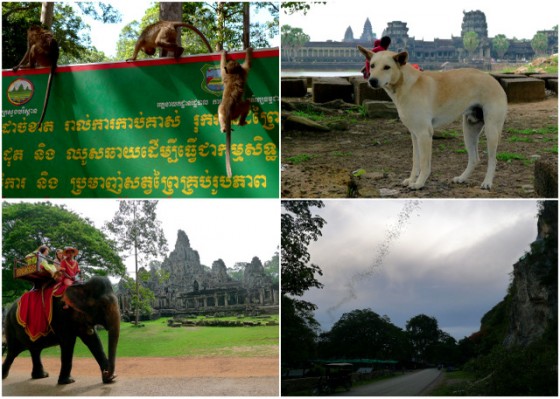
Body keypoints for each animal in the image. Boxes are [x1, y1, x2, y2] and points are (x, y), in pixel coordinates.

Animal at [219, 47, 254, 178]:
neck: (234, 73)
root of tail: (229, 109)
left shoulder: (226, 74)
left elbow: (222, 66)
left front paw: (223, 53)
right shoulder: (243, 71)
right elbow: (248, 64)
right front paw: (248, 50)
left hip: (224, 111)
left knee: (219, 110)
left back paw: (224, 127)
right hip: (237, 110)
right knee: (247, 104)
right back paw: (241, 122)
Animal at [358, 47, 508, 191]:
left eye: (387, 67)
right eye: (372, 65)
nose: (372, 81)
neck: (407, 85)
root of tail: (494, 80)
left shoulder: (424, 134)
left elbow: (424, 163)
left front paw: (419, 184)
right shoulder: (415, 134)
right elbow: (415, 161)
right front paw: (411, 179)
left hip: (491, 131)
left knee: (493, 160)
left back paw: (487, 182)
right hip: (469, 131)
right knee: (474, 158)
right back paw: (462, 178)